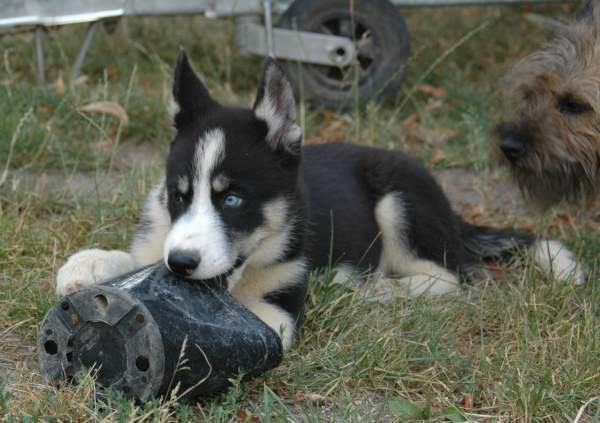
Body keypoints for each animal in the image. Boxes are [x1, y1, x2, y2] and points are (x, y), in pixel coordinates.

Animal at [57, 52, 584, 351]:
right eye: (177, 195)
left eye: (232, 199)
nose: (182, 263)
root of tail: (454, 214)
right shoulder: (160, 239)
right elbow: (133, 259)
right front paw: (85, 266)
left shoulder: (280, 311)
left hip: (399, 199)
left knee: (453, 277)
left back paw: (377, 289)